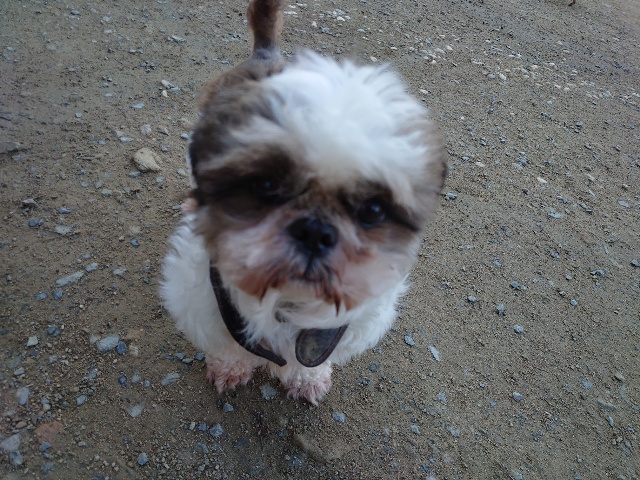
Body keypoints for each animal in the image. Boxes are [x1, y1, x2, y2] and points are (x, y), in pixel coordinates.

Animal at [160, 0, 446, 405]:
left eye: (373, 210)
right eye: (266, 185)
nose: (315, 231)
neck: (285, 300)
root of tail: (266, 53)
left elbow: (307, 357)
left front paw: (306, 378)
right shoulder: (203, 300)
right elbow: (229, 345)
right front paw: (231, 367)